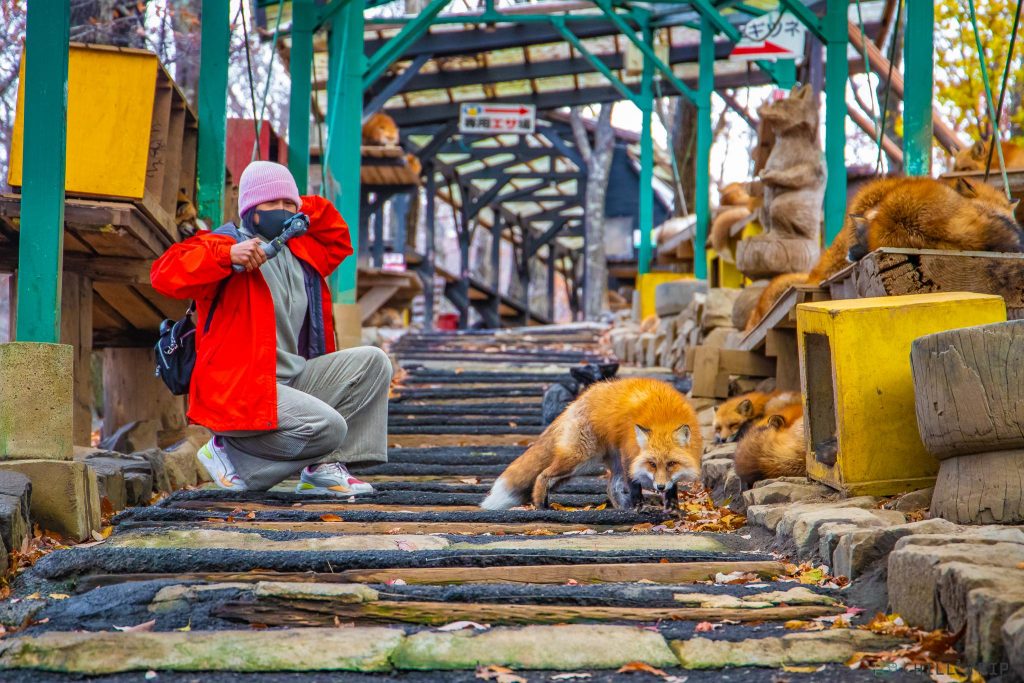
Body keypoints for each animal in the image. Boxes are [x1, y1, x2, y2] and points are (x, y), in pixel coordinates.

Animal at [481, 376, 704, 509]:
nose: (659, 487)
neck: (663, 418)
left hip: (599, 462)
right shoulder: (629, 455)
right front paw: (638, 505)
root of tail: (578, 400)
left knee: (611, 487)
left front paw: (672, 506)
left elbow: (673, 485)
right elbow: (634, 485)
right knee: (542, 476)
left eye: (671, 464)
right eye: (651, 464)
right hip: (580, 459)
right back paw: (542, 506)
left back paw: (621, 507)